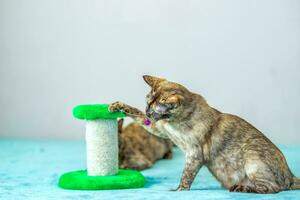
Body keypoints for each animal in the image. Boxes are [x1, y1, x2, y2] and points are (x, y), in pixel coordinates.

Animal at [108, 75, 300, 194]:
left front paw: (179, 190)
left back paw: (242, 188)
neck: (173, 123)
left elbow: (186, 175)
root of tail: (290, 175)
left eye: (153, 108)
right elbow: (136, 114)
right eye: (147, 104)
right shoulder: (158, 129)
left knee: (273, 188)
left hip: (253, 155)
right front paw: (118, 105)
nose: (149, 112)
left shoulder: (194, 154)